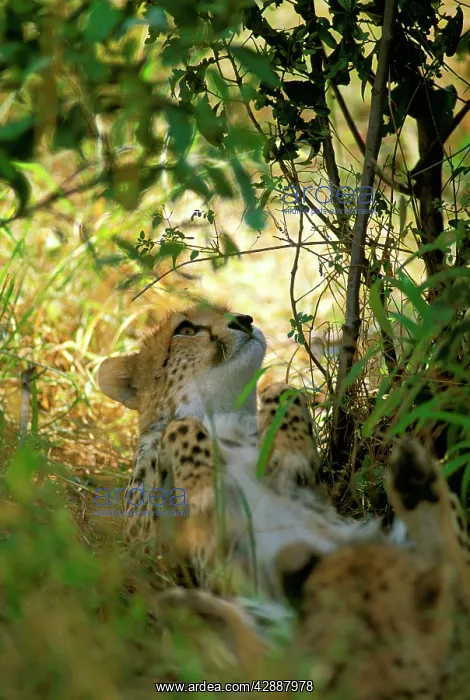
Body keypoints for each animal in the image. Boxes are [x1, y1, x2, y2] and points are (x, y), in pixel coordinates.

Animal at [98, 302, 382, 596]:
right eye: (185, 330)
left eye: (226, 309)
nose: (244, 320)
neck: (223, 413)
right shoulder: (156, 557)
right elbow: (179, 427)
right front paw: (205, 488)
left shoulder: (315, 492)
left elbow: (281, 388)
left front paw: (289, 452)